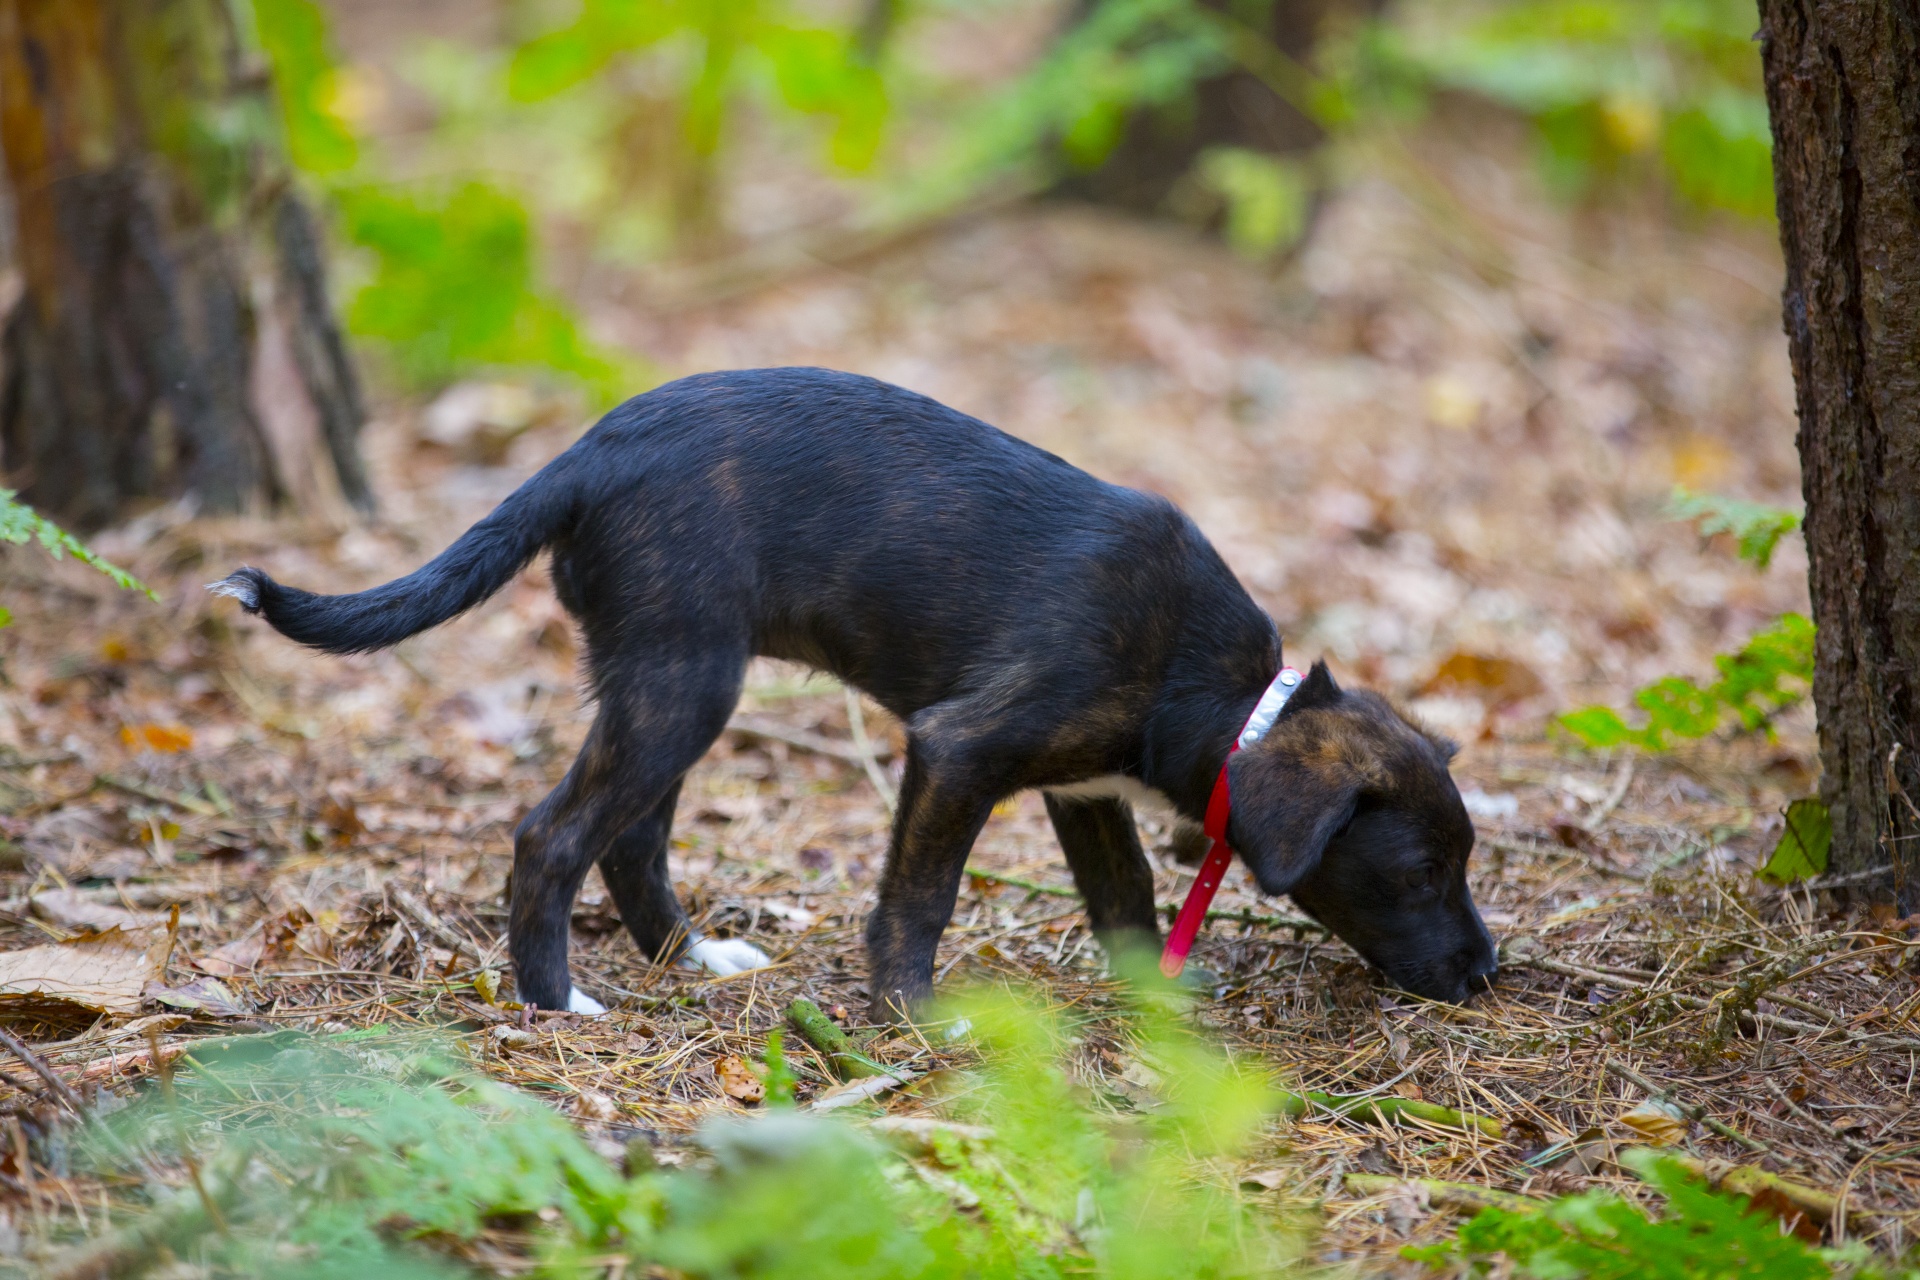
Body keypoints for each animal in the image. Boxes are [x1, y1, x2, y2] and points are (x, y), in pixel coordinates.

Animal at [214, 368, 1497, 1020]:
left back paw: (692, 958)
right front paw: (915, 1015)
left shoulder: (1081, 790)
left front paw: (1159, 1015)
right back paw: (556, 998)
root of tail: (586, 453)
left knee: (629, 839)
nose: (1487, 971)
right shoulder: (960, 748)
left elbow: (1128, 902)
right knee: (554, 834)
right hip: (686, 679)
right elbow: (919, 898)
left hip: (664, 675)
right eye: (1416, 873)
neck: (1227, 698)